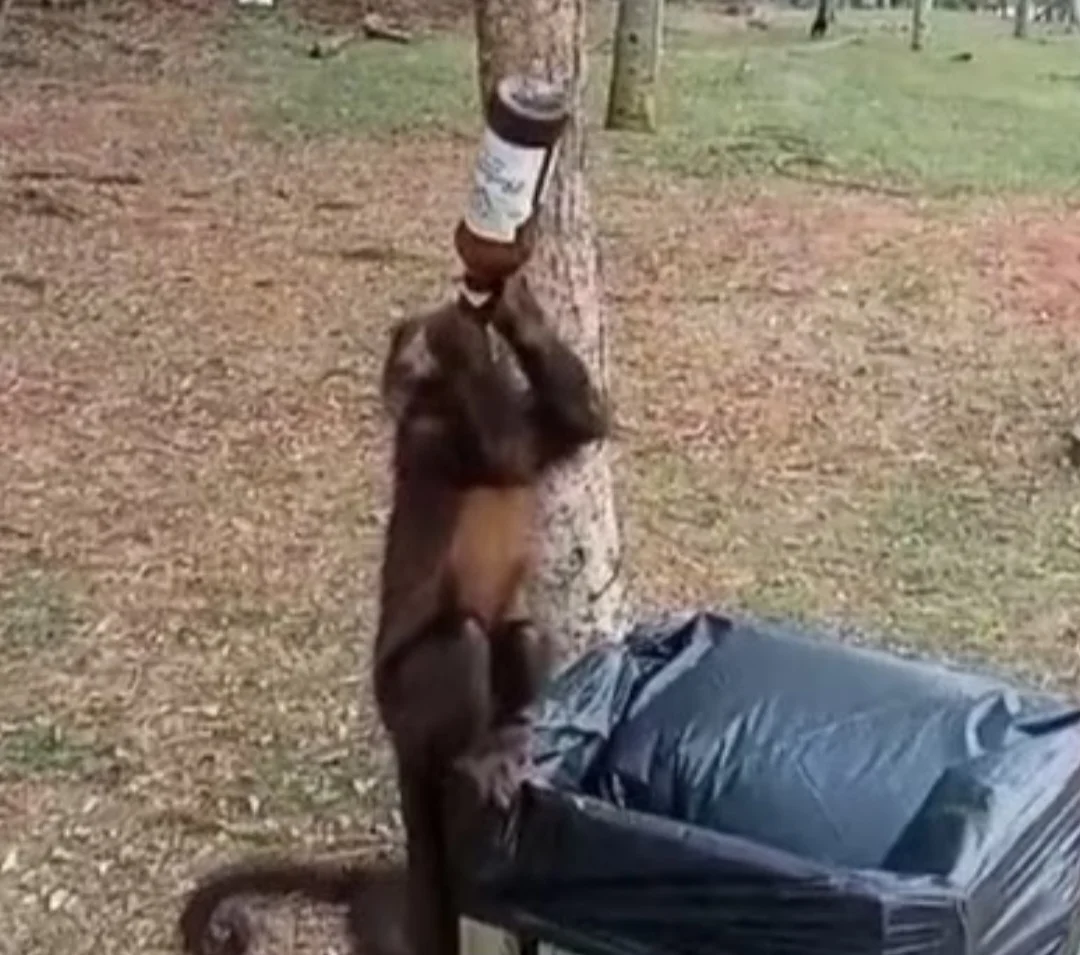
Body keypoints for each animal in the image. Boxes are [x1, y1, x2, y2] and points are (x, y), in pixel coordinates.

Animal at [177, 274, 610, 955]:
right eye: (404, 357)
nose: (404, 373)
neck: (446, 408)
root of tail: (398, 736)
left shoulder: (497, 416)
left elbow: (582, 420)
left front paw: (507, 308)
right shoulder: (428, 438)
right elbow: (507, 453)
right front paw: (466, 335)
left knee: (523, 634)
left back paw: (507, 738)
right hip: (400, 702)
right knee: (462, 640)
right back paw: (471, 754)